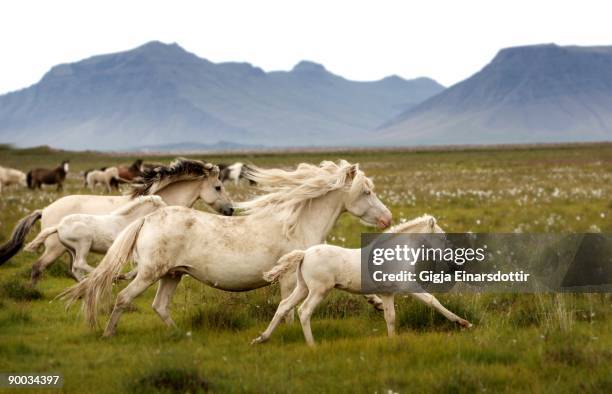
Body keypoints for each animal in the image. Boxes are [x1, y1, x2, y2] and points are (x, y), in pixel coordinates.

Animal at [24, 195, 167, 280]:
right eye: (163, 207)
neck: (126, 222)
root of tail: (58, 226)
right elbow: (137, 265)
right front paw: (119, 276)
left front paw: (123, 277)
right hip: (84, 243)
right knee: (80, 263)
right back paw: (99, 274)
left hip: (72, 249)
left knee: (75, 269)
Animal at [61, 159, 392, 338]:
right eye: (366, 191)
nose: (387, 218)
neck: (296, 223)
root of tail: (148, 219)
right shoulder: (293, 278)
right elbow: (287, 308)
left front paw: (377, 304)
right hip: (149, 274)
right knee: (123, 298)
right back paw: (108, 333)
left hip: (173, 274)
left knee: (160, 306)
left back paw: (181, 335)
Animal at [252, 214, 474, 346]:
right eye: (443, 237)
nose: (455, 265)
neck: (393, 254)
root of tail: (304, 253)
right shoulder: (407, 285)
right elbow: (432, 300)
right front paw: (464, 323)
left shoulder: (387, 293)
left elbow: (390, 317)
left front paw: (392, 340)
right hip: (319, 290)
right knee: (304, 311)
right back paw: (312, 345)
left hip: (303, 288)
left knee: (284, 306)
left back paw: (261, 338)